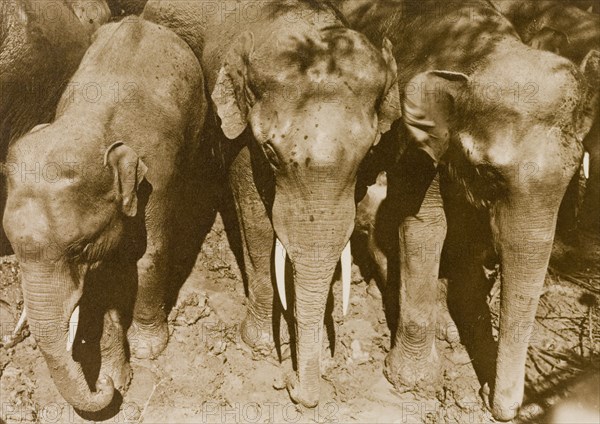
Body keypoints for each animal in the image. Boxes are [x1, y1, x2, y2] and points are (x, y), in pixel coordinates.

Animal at [2, 16, 210, 414]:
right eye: (14, 248)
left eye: (78, 248)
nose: (104, 387)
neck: (91, 123)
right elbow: (99, 285)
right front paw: (117, 375)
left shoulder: (156, 176)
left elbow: (149, 256)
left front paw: (147, 350)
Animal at [142, 0, 404, 408]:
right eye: (270, 154)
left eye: (367, 154)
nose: (292, 386)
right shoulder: (238, 129)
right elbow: (256, 221)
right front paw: (261, 344)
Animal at [336, 0, 596, 420]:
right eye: (488, 173)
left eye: (573, 171)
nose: (498, 405)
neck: (482, 52)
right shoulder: (415, 140)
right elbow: (424, 225)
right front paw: (412, 381)